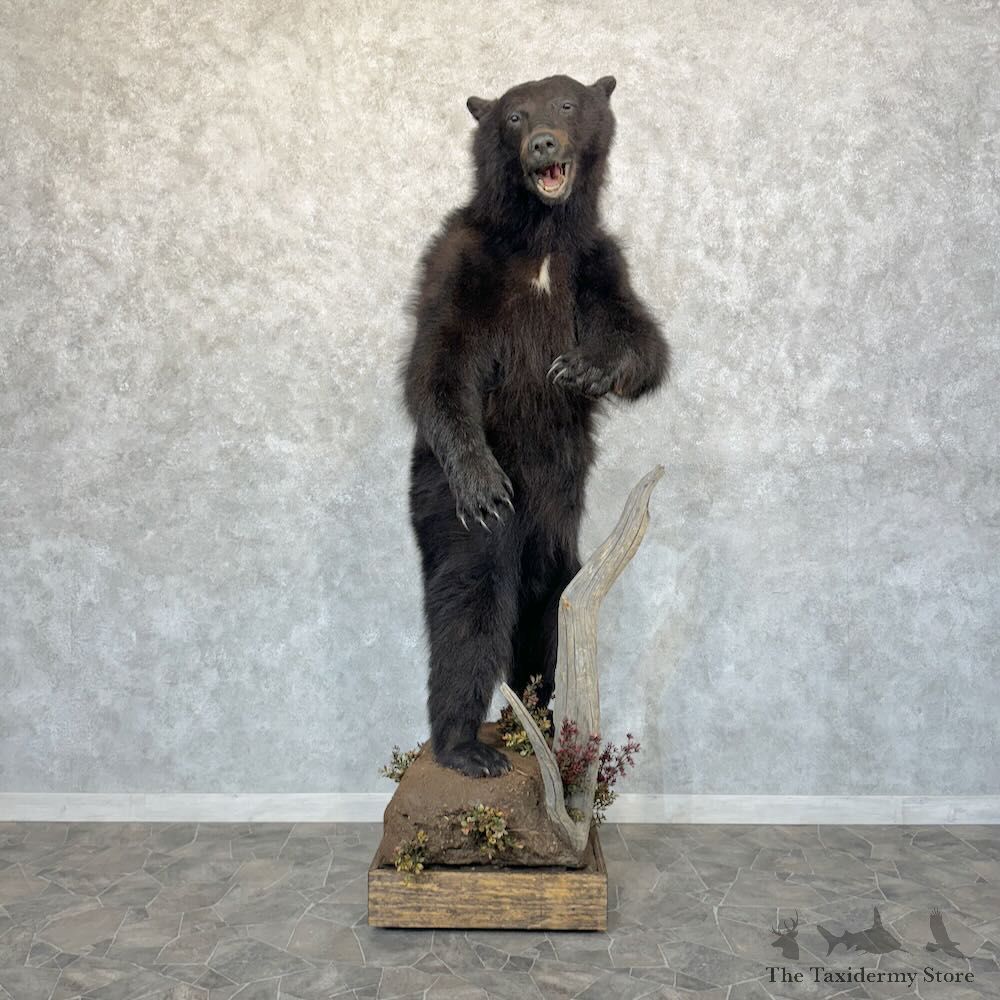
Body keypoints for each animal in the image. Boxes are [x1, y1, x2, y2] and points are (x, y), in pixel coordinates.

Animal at [400, 74, 669, 778]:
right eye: (515, 116)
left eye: (567, 104)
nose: (544, 141)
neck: (541, 239)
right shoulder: (458, 262)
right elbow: (437, 365)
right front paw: (482, 483)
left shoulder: (599, 262)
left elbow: (643, 338)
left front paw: (583, 369)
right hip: (441, 503)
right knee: (470, 602)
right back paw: (466, 747)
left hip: (559, 530)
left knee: (549, 598)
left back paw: (547, 723)